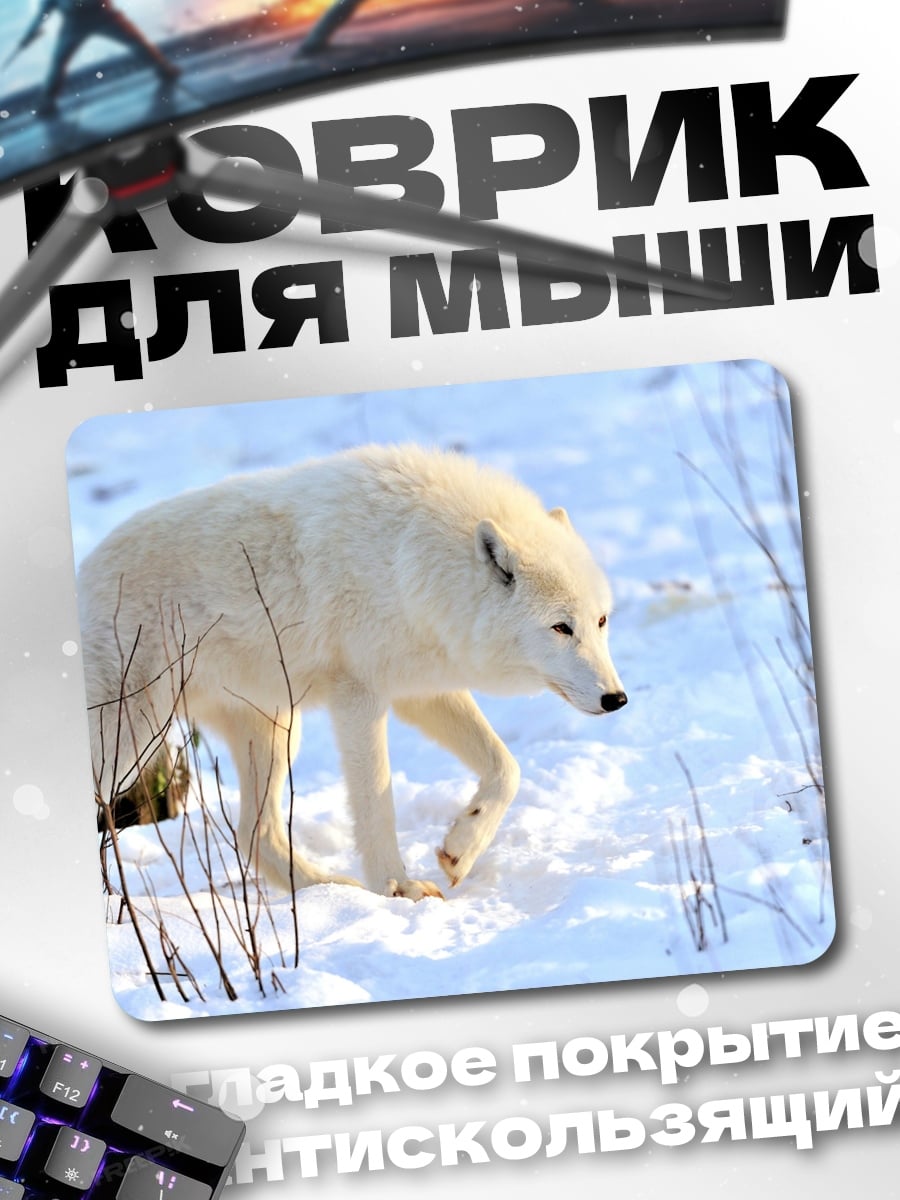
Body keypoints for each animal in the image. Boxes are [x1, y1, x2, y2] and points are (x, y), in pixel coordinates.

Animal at [79, 443, 627, 900]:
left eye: (601, 621)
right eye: (561, 627)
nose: (616, 699)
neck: (408, 561)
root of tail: (82, 571)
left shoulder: (422, 691)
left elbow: (506, 769)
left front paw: (459, 849)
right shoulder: (359, 699)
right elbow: (377, 805)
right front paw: (399, 888)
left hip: (275, 731)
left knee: (254, 830)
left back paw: (327, 889)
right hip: (130, 740)